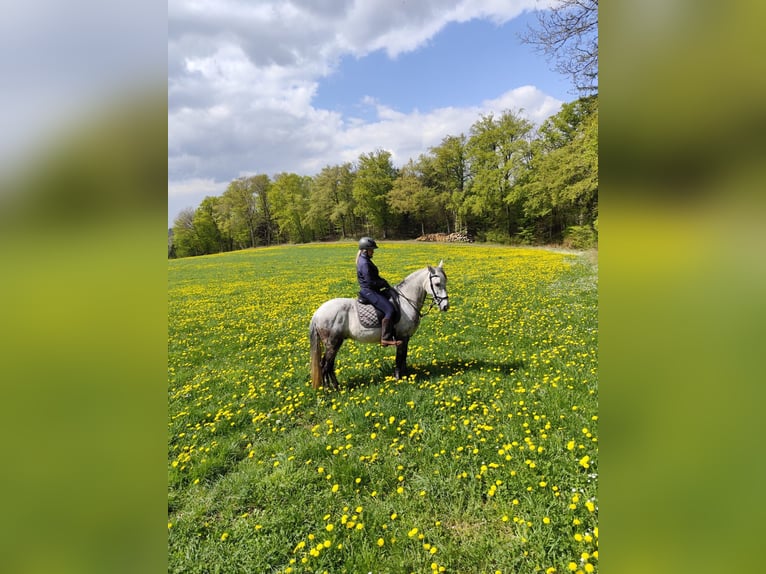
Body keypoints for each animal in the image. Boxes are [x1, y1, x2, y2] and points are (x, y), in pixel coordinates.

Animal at [309, 261, 449, 389]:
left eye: (445, 282)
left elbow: (403, 358)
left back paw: (335, 387)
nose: (445, 306)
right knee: (325, 365)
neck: (406, 301)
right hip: (332, 343)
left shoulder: (406, 338)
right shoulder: (401, 337)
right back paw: (328, 390)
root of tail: (317, 313)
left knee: (328, 365)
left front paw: (406, 376)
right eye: (437, 284)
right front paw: (399, 378)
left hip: (334, 343)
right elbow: (399, 358)